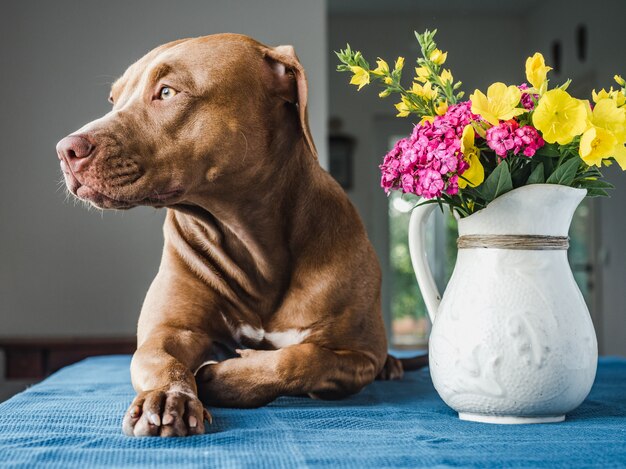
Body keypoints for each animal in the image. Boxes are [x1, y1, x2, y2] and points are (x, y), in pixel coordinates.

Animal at [57, 33, 424, 436]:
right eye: (114, 99)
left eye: (167, 91)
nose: (66, 150)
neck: (252, 243)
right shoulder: (168, 332)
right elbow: (161, 360)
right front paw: (169, 396)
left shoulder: (359, 354)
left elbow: (303, 359)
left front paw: (223, 378)